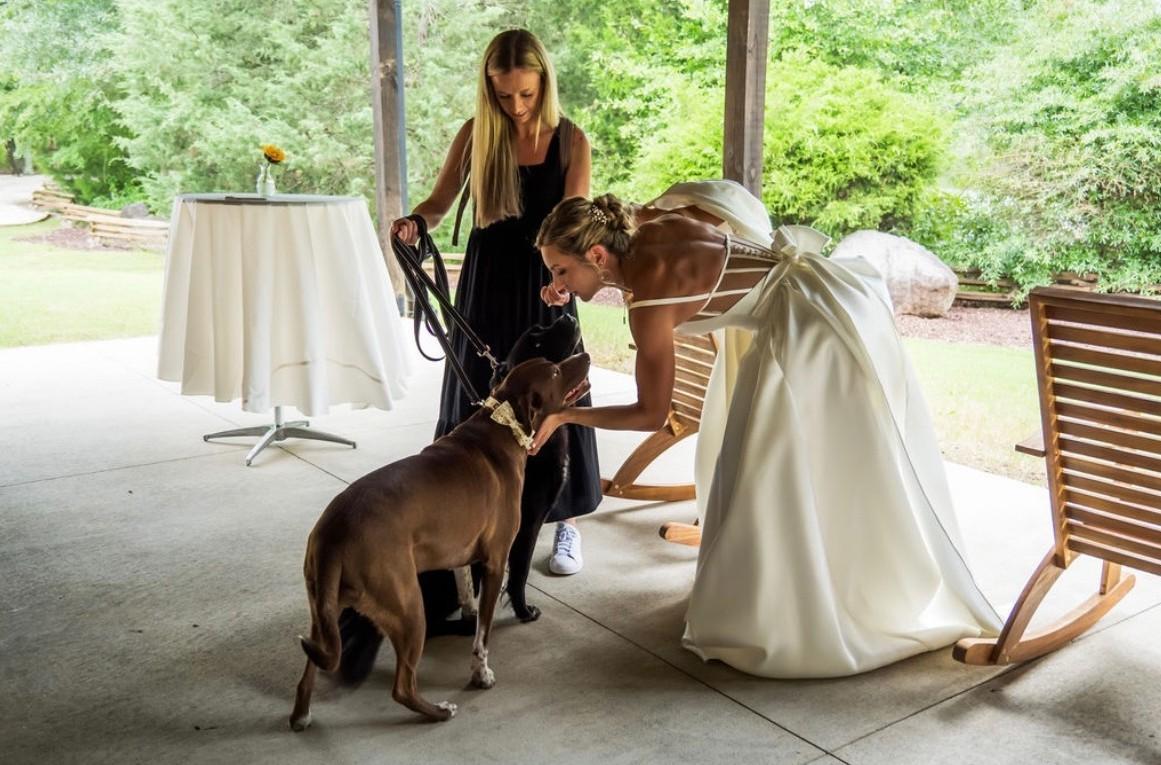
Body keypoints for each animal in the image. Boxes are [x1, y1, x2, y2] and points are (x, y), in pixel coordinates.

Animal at [290, 353, 591, 729]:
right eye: (555, 370)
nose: (586, 355)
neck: (502, 424)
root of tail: (333, 534)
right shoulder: (496, 561)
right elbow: (484, 633)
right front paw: (481, 674)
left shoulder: (459, 555)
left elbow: (467, 597)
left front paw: (468, 618)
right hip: (408, 608)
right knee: (402, 687)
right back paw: (438, 711)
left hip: (323, 610)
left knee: (308, 674)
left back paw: (301, 715)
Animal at [336, 315, 586, 685]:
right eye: (537, 343)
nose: (568, 315)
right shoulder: (528, 522)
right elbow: (520, 571)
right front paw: (524, 611)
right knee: (428, 625)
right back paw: (465, 627)